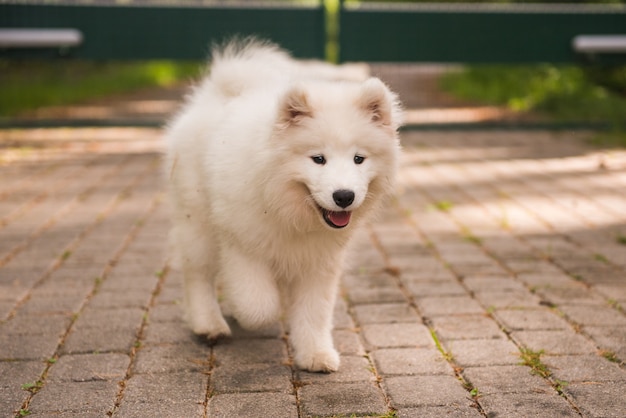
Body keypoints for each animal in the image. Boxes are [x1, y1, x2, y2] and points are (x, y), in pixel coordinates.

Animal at [163, 39, 400, 372]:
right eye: (318, 159)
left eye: (358, 158)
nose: (344, 196)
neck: (288, 209)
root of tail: (217, 91)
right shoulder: (241, 244)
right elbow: (258, 305)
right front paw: (252, 310)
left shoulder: (319, 262)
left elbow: (314, 313)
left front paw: (315, 354)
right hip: (197, 222)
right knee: (197, 274)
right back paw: (208, 323)